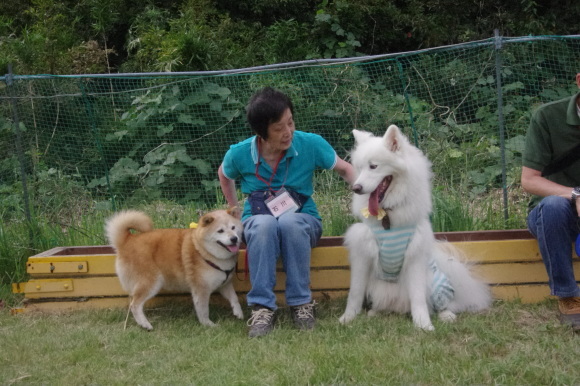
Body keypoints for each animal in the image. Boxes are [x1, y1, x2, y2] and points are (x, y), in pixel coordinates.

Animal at [105, 207, 244, 330]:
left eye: (233, 227)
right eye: (220, 231)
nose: (234, 238)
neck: (203, 251)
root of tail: (126, 241)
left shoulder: (224, 284)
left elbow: (234, 298)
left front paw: (239, 313)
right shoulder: (201, 288)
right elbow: (203, 310)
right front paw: (208, 324)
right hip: (151, 282)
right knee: (135, 305)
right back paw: (145, 324)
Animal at [338, 125, 492, 330]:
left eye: (373, 166)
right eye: (359, 168)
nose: (356, 188)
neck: (387, 216)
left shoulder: (415, 256)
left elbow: (418, 297)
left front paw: (423, 325)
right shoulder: (362, 253)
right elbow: (355, 292)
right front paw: (348, 318)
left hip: (434, 282)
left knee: (439, 304)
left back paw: (446, 315)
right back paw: (375, 312)